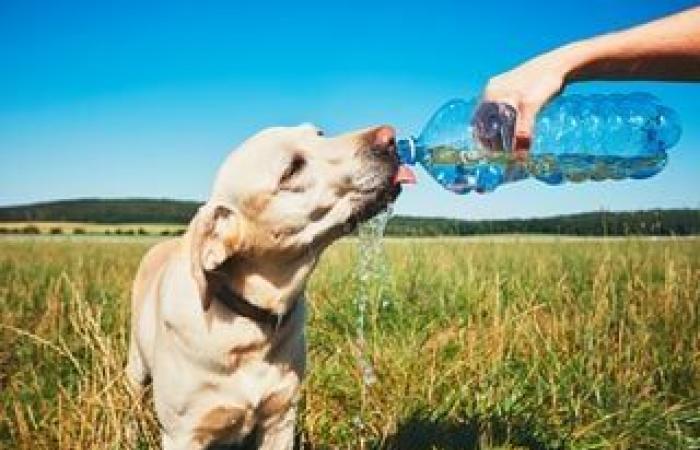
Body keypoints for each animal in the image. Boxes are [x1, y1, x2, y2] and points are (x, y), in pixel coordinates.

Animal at [123, 124, 402, 450]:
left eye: (319, 133)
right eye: (292, 169)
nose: (390, 137)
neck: (250, 326)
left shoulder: (280, 418)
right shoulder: (183, 434)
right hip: (136, 366)